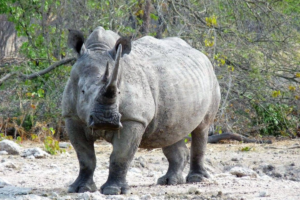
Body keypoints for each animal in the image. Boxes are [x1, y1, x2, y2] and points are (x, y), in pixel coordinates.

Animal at [62, 25, 220, 195]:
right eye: (83, 91)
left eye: (119, 92)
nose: (105, 119)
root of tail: (201, 54)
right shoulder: (71, 117)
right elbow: (85, 156)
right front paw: (79, 188)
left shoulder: (133, 118)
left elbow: (120, 156)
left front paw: (113, 190)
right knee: (170, 131)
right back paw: (168, 181)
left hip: (211, 78)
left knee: (201, 128)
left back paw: (196, 179)